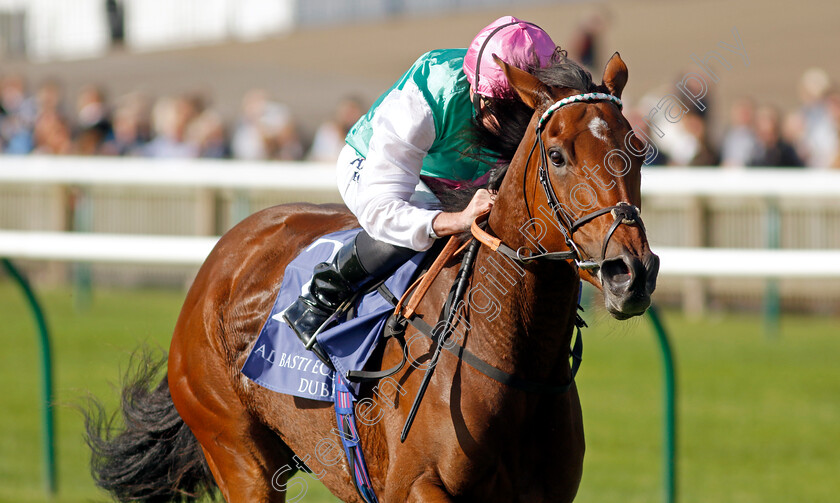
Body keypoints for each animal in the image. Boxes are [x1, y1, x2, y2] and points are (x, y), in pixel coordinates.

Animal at [88, 52, 660, 503]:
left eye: (637, 148)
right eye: (557, 156)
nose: (630, 272)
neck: (512, 359)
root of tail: (221, 258)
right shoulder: (416, 486)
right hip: (237, 451)